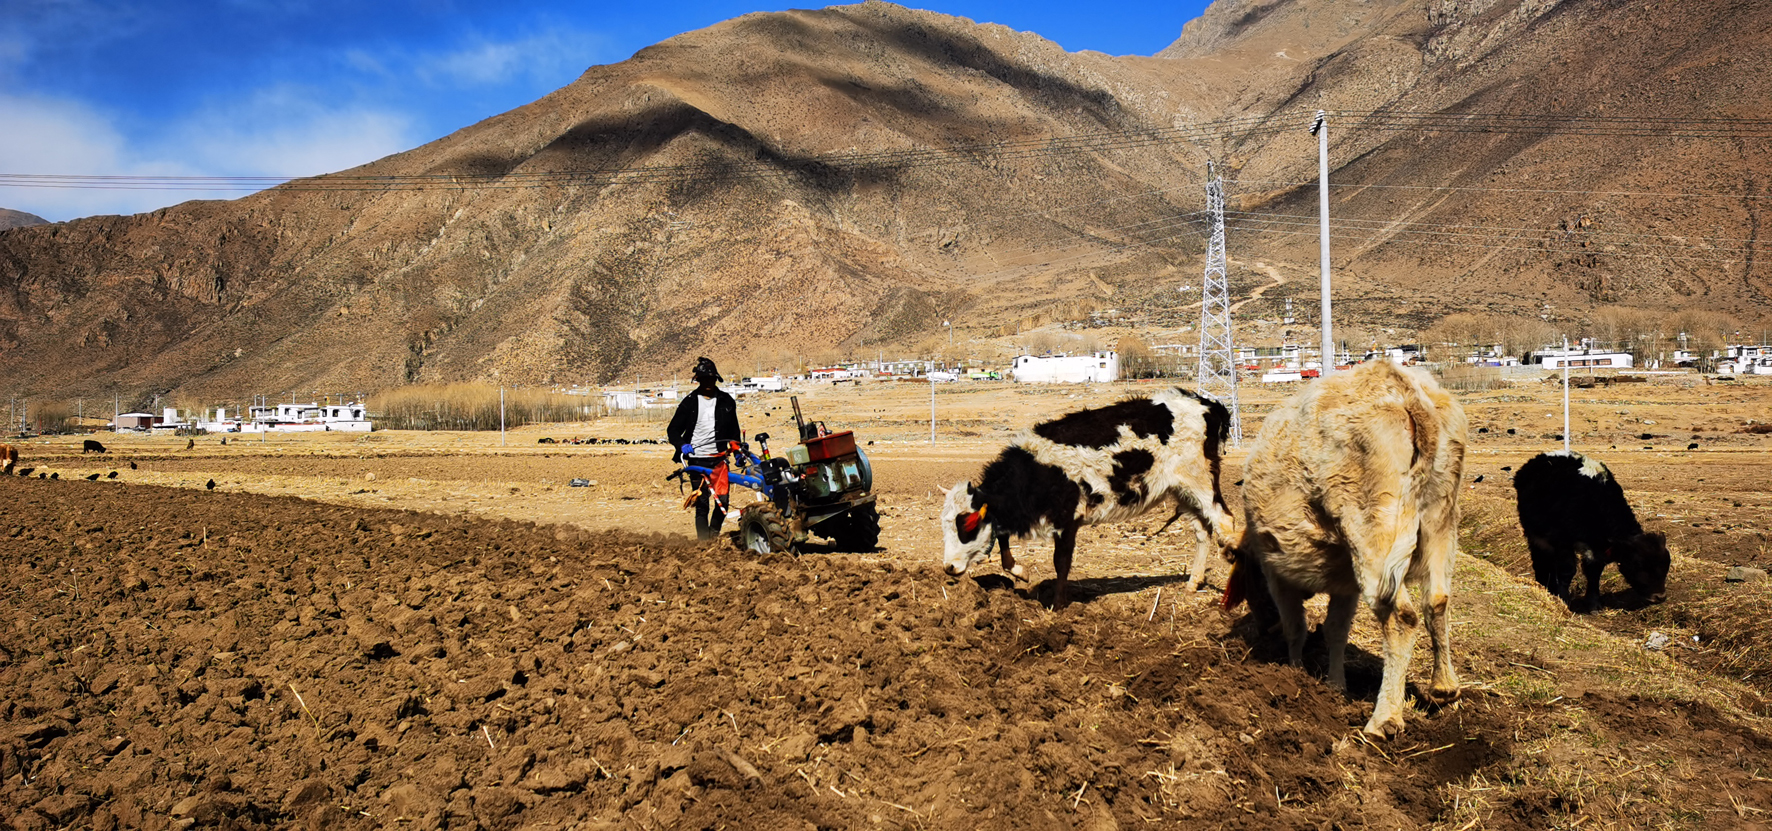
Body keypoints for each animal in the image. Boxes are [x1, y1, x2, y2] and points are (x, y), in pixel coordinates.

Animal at [935, 386, 1240, 605]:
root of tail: (1208, 405)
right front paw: (1021, 571)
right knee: (1203, 530)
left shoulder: (1067, 518)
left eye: (967, 525)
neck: (1036, 470)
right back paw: (1193, 583)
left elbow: (1061, 562)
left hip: (1200, 481)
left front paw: (1057, 605)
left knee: (1224, 521)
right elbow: (1002, 540)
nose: (948, 567)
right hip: (1181, 490)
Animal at [1226, 359, 1460, 733]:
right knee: (1437, 601)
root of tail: (1400, 383)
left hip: (1373, 536)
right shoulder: (1346, 584)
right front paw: (1335, 685)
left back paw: (1384, 719)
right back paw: (1444, 687)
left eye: (1247, 578)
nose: (1264, 630)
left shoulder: (1277, 573)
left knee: (1401, 618)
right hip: (1441, 522)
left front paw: (1294, 672)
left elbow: (1296, 627)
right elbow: (1335, 632)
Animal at [1516, 450, 1665, 613]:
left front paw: (1593, 604)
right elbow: (1567, 570)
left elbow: (1594, 571)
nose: (1660, 597)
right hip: (1535, 535)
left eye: (1666, 565)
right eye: (1638, 564)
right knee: (1541, 560)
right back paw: (1545, 586)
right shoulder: (1562, 541)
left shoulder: (1595, 547)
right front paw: (1563, 600)